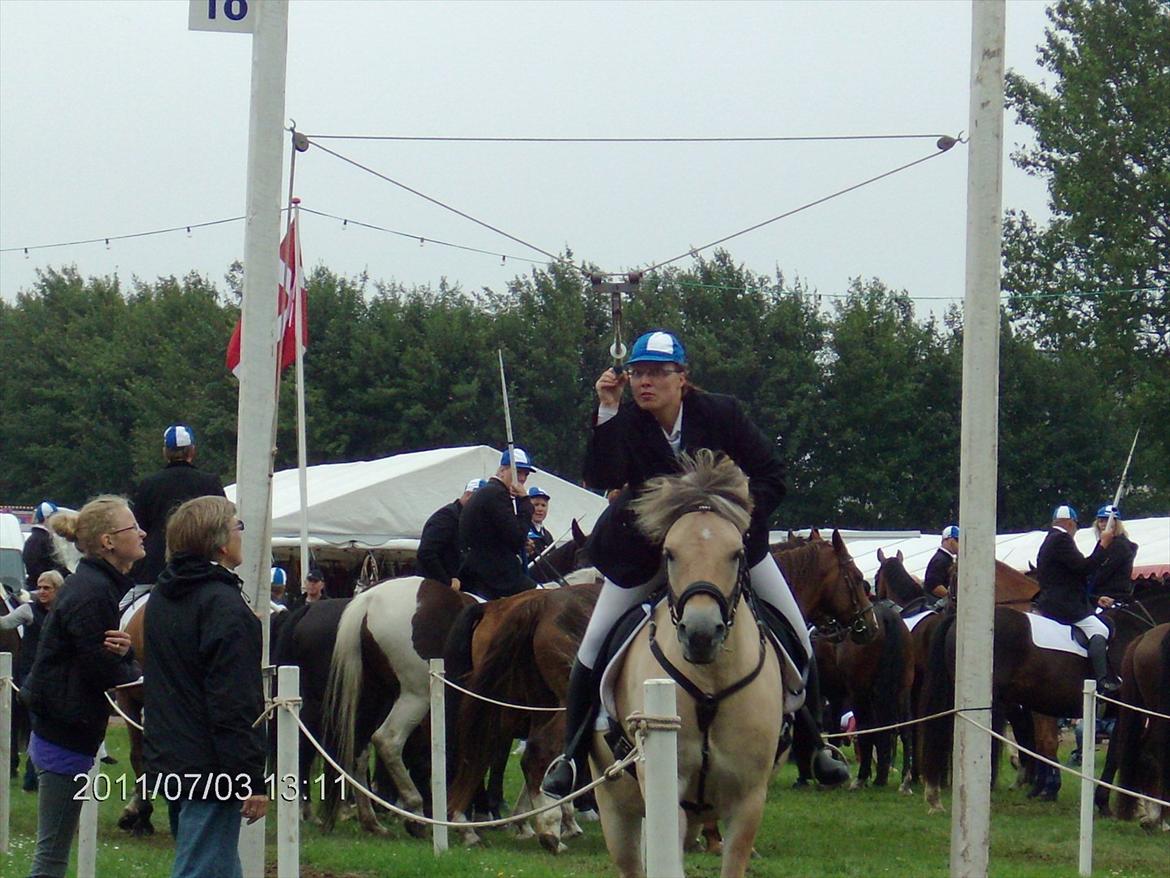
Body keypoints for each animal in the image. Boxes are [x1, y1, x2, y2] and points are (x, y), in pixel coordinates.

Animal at [594, 454, 786, 878]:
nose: (700, 634)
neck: (710, 683)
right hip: (615, 808)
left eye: (737, 553)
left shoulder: (749, 799)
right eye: (669, 553)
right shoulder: (669, 789)